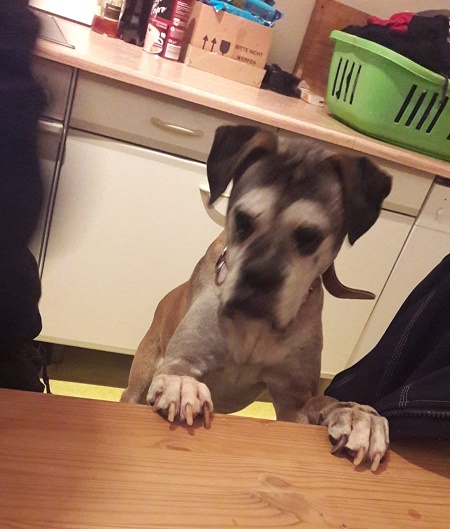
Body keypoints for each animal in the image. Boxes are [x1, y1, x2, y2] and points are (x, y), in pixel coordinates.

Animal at [121, 125, 392, 471]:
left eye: (310, 237)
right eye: (242, 220)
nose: (258, 278)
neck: (255, 326)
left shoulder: (294, 399)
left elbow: (323, 401)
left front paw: (357, 416)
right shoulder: (183, 358)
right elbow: (178, 371)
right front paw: (181, 387)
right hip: (139, 379)